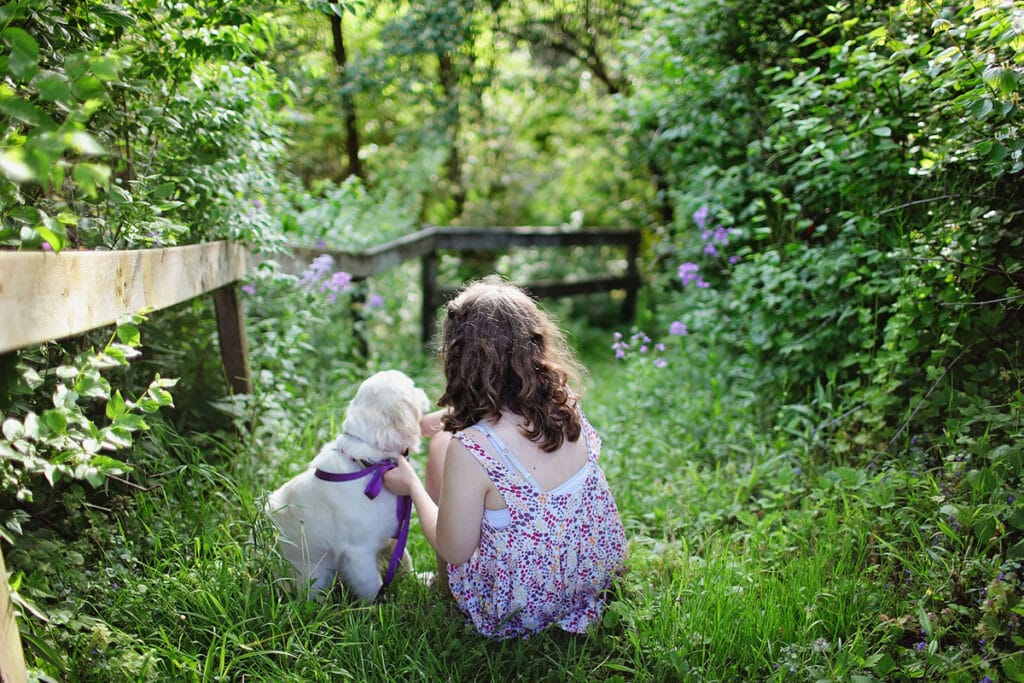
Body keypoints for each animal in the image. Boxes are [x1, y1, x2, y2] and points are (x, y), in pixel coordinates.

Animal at [268, 370, 428, 602]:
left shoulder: (393, 533)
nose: (423, 391)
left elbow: (404, 559)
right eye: (412, 387)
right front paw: (380, 606)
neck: (370, 465)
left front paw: (420, 579)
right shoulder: (358, 552)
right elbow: (372, 585)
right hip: (313, 576)